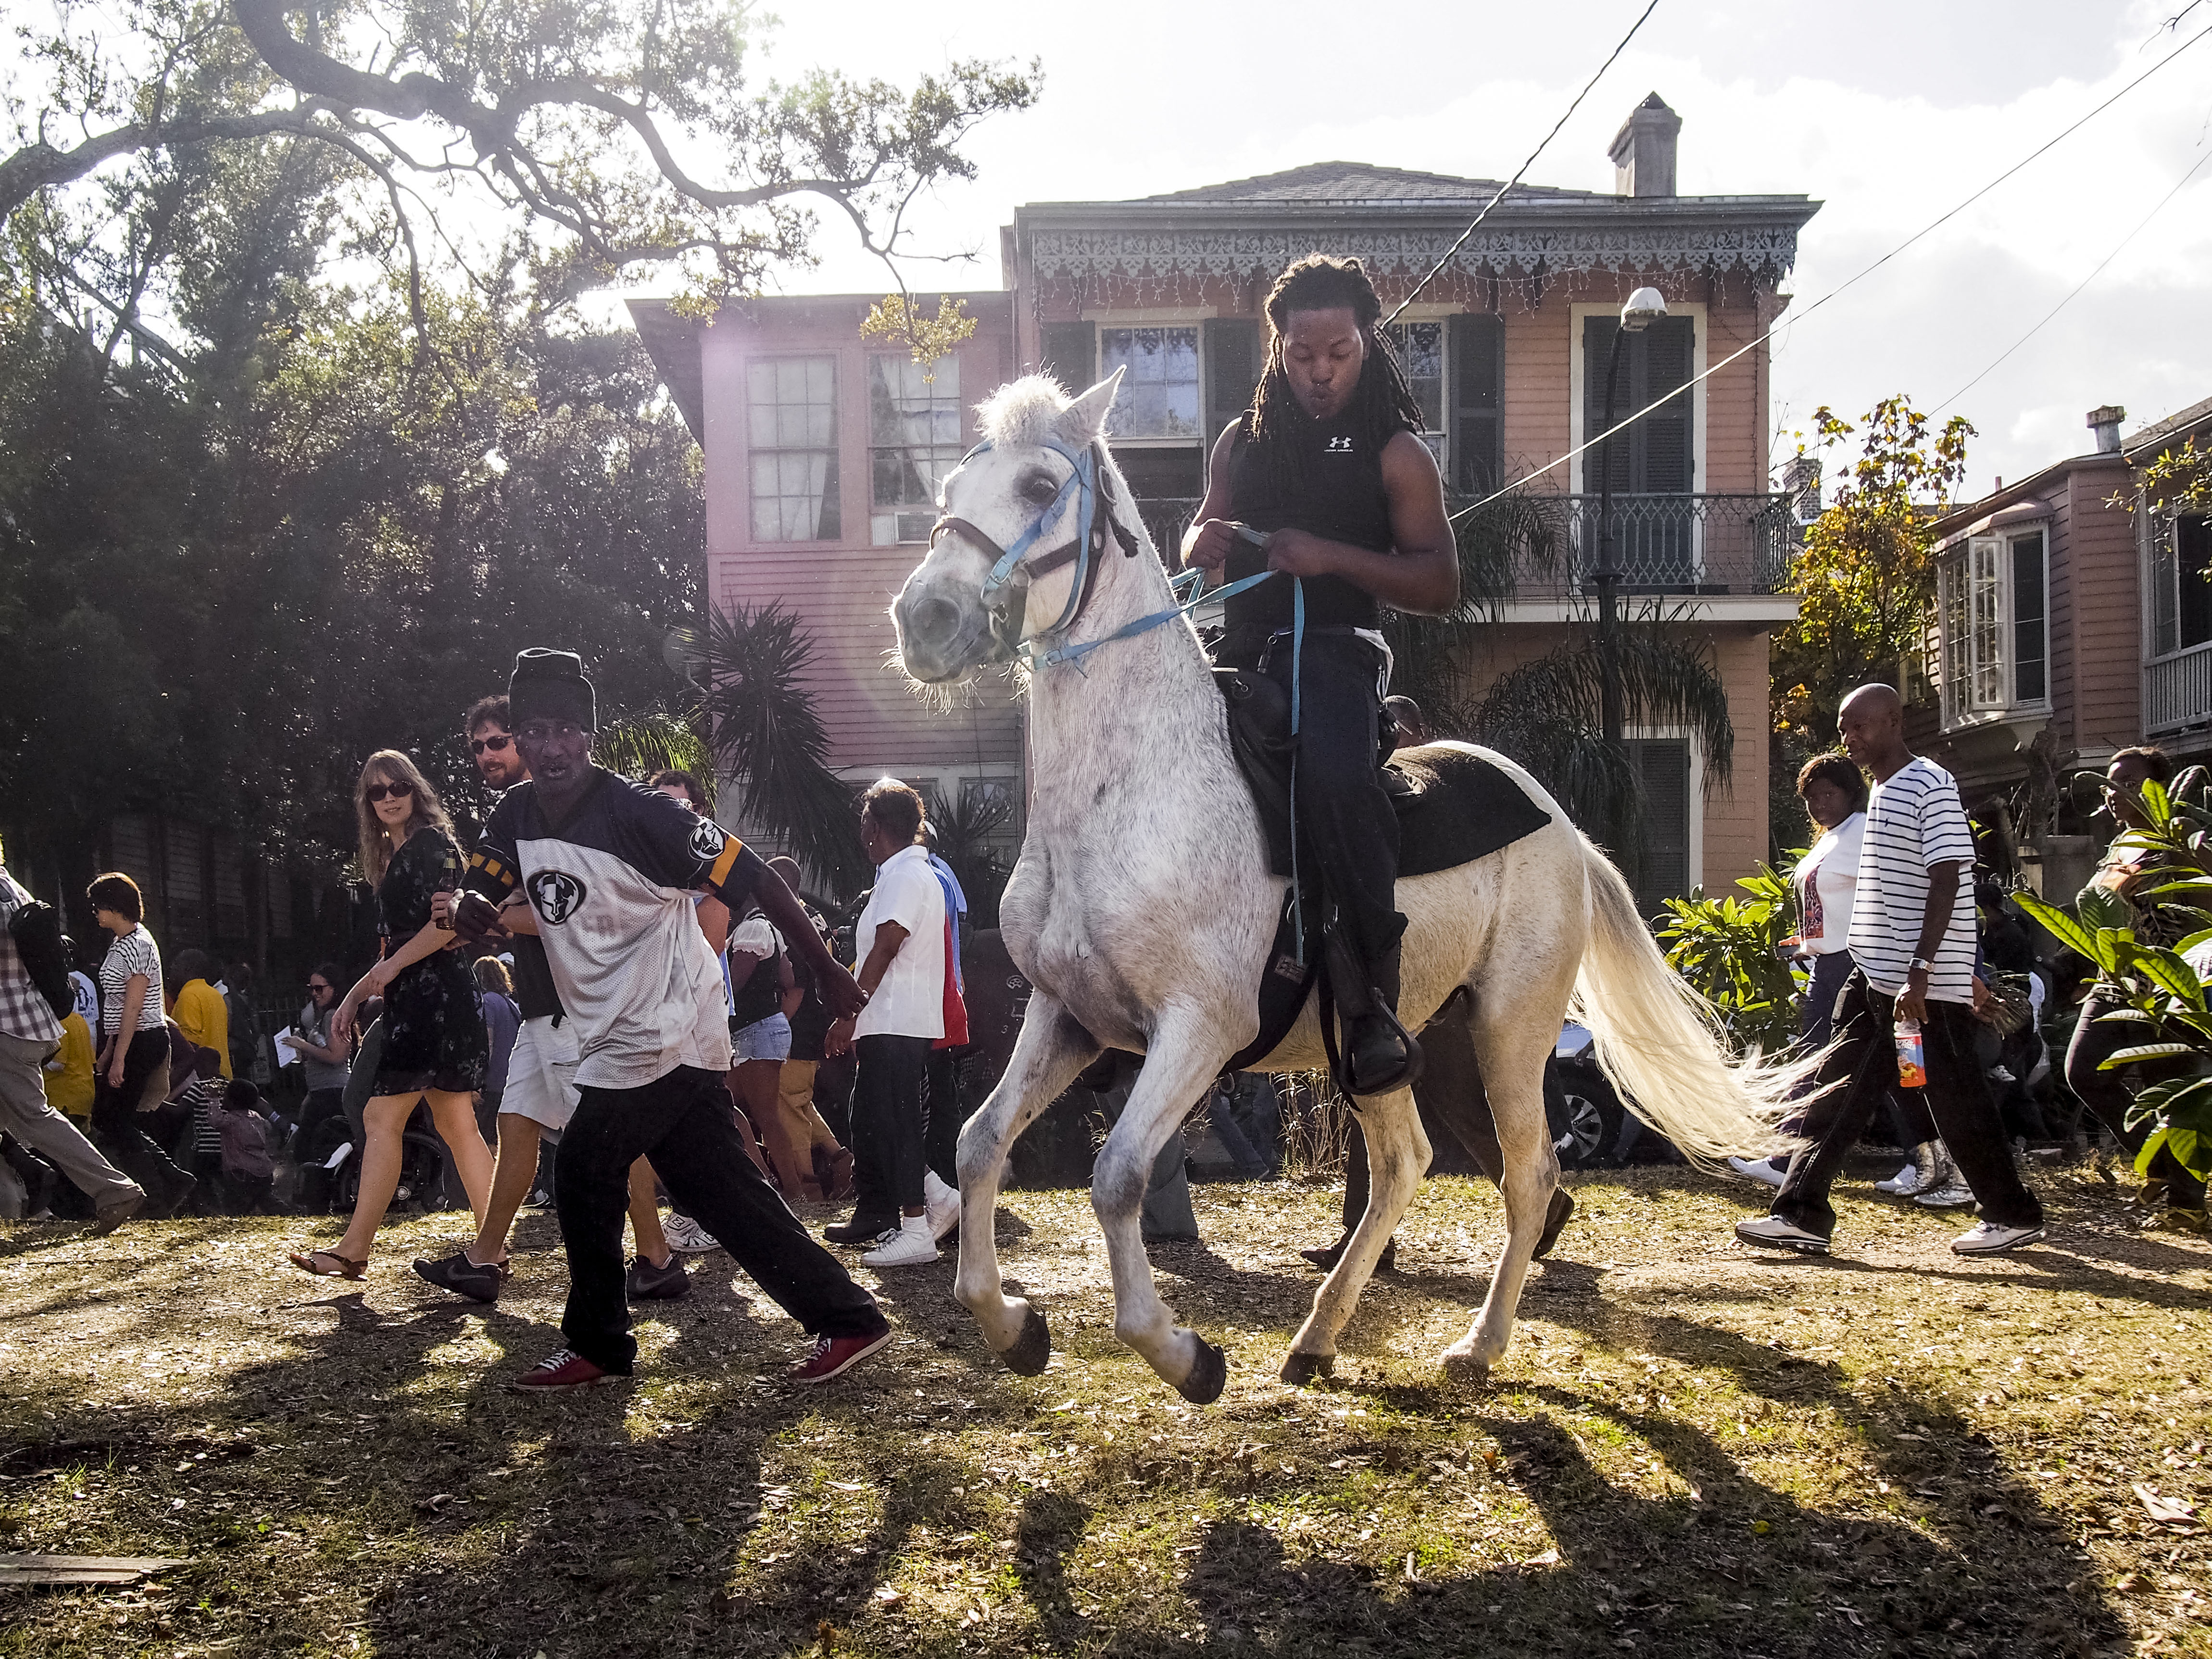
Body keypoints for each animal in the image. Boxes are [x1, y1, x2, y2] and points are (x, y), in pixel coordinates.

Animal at [889, 374, 1805, 1407]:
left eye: (1042, 485)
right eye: (948, 488)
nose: (923, 622)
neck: (1134, 790)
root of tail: (1564, 826)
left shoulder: (1199, 1028)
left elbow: (1118, 1175)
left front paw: (1183, 1354)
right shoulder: (1070, 1016)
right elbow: (977, 1143)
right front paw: (1012, 1326)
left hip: (1510, 1028)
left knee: (1529, 1176)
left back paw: (1477, 1345)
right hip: (1395, 1042)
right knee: (1406, 1164)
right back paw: (1319, 1336)